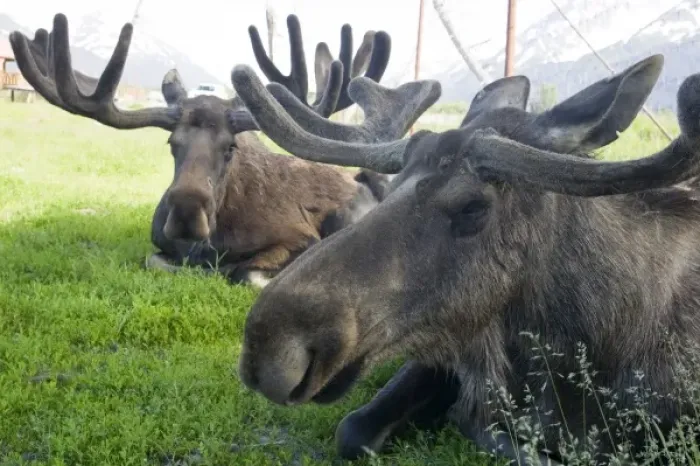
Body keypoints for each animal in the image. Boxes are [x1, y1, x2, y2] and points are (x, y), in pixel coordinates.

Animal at [9, 13, 406, 288]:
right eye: (172, 143)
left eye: (230, 147)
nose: (186, 209)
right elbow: (157, 261)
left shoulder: (298, 236)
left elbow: (247, 272)